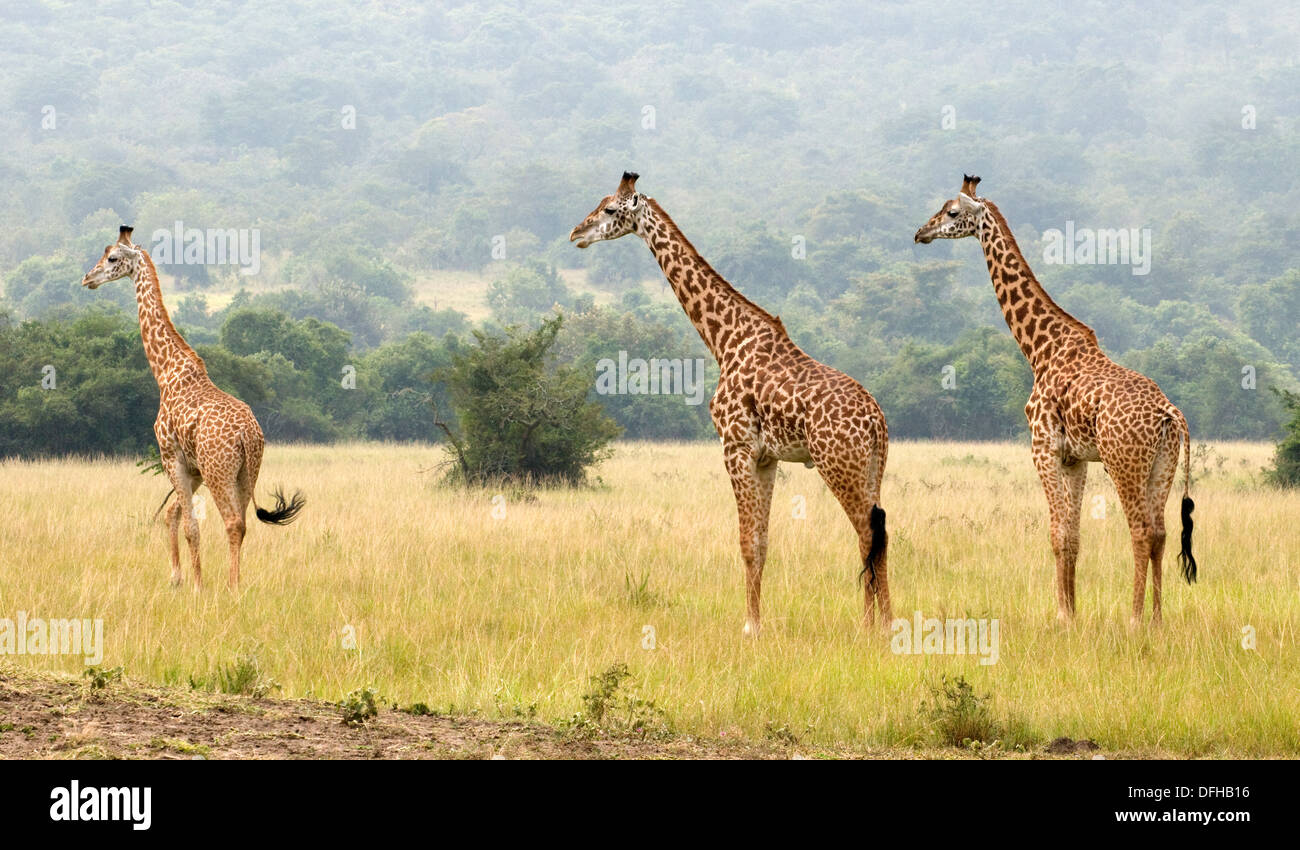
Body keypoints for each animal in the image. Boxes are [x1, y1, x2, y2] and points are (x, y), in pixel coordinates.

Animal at [82, 226, 304, 589]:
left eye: (112, 258)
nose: (88, 278)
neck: (166, 372)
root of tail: (248, 435)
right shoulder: (194, 468)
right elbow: (172, 514)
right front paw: (177, 577)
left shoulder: (171, 457)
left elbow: (190, 525)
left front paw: (198, 585)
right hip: (247, 472)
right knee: (242, 523)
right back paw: (233, 581)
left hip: (219, 471)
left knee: (232, 522)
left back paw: (232, 587)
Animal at [570, 173, 891, 635]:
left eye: (611, 209)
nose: (577, 233)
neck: (723, 340)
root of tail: (878, 423)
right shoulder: (766, 457)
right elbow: (763, 540)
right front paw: (758, 621)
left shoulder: (735, 446)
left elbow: (746, 542)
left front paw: (750, 627)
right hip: (871, 469)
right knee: (879, 533)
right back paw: (885, 622)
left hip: (837, 464)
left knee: (868, 534)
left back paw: (871, 626)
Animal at [914, 176, 1196, 626]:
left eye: (953, 212)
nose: (921, 232)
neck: (1039, 350)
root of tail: (1170, 413)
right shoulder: (1074, 458)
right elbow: (1074, 536)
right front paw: (1073, 612)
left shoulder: (1042, 445)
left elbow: (1056, 534)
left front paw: (1062, 615)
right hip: (1162, 466)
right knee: (1161, 532)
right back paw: (1156, 619)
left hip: (1124, 461)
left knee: (1140, 531)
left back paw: (1135, 620)